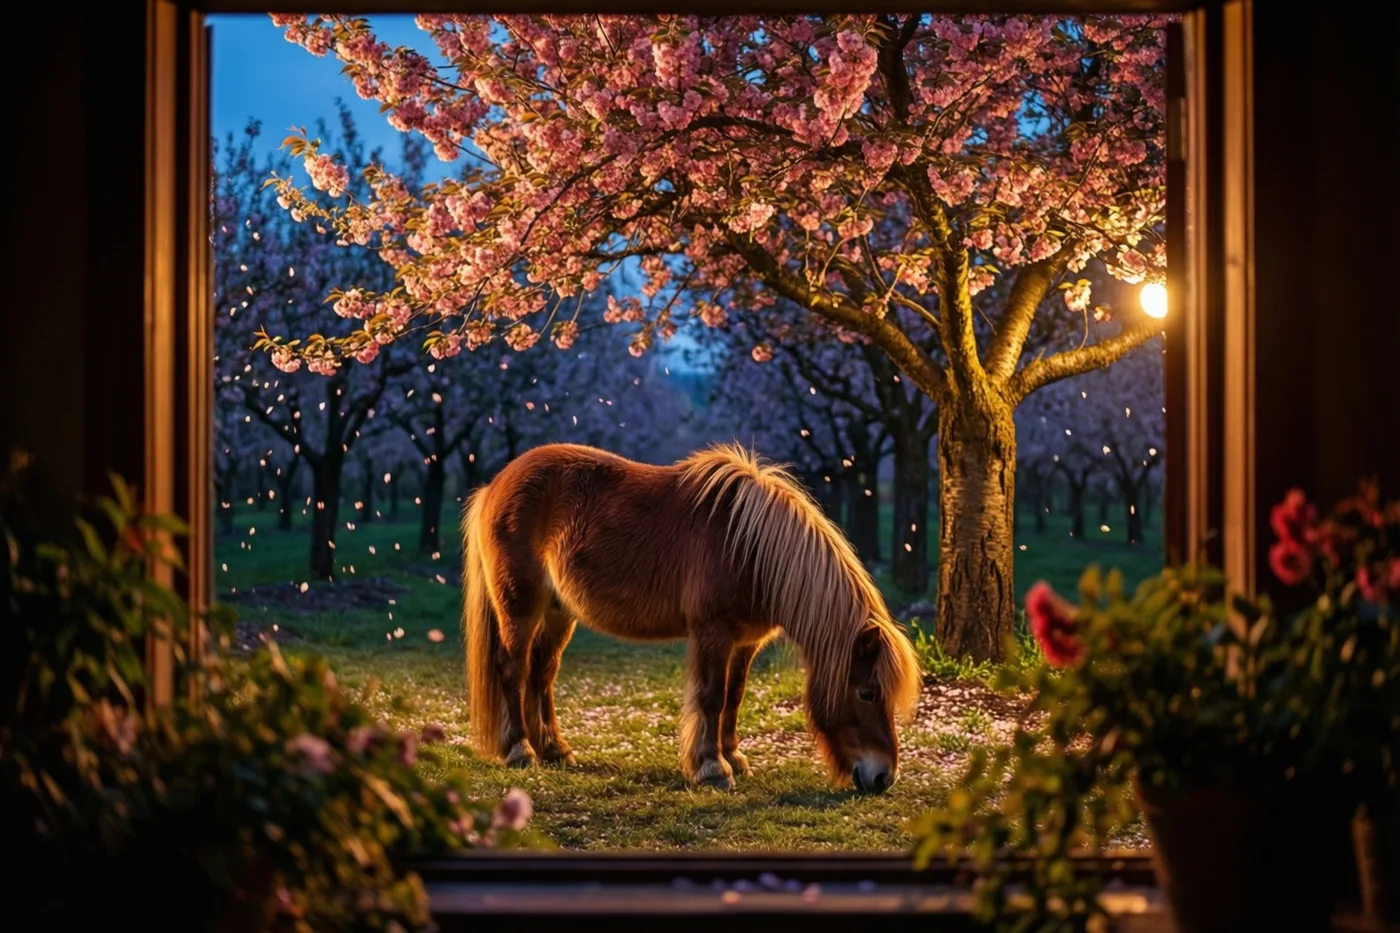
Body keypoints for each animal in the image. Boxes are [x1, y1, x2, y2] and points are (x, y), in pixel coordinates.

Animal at [460, 442, 921, 793]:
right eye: (867, 693)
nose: (884, 778)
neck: (750, 550)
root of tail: (494, 484)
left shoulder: (745, 641)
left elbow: (734, 696)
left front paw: (733, 756)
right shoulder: (713, 633)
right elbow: (711, 697)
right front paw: (711, 768)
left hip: (559, 612)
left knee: (542, 672)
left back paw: (555, 749)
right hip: (519, 606)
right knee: (513, 668)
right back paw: (520, 750)